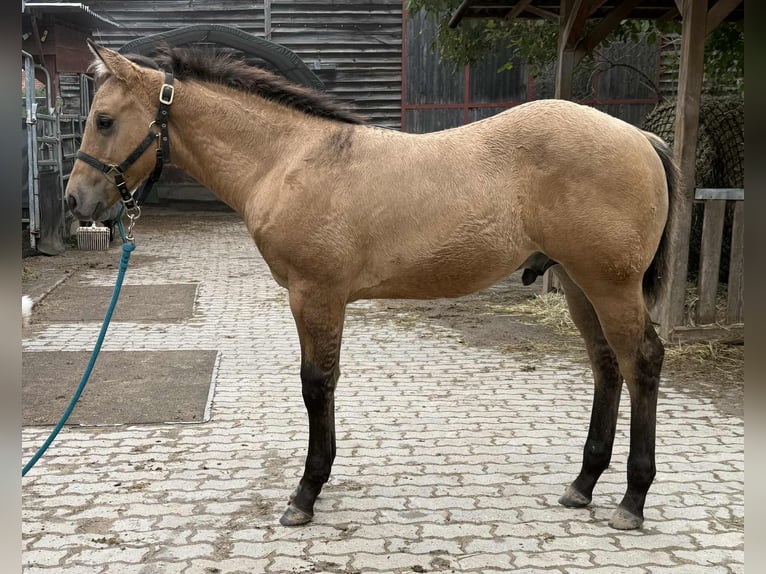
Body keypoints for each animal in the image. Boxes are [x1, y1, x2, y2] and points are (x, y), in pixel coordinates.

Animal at [65, 41, 678, 531]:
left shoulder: (314, 293)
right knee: (606, 366)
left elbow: (316, 385)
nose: (75, 201)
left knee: (642, 362)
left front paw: (305, 494)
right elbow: (325, 383)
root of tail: (640, 135)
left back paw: (632, 499)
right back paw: (582, 485)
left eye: (104, 120)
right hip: (578, 283)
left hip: (609, 284)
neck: (289, 160)